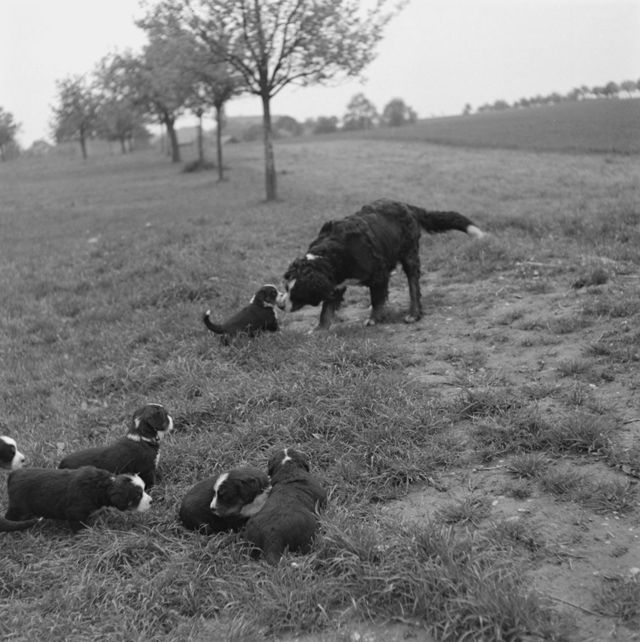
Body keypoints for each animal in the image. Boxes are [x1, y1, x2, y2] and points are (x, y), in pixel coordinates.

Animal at [5, 466, 151, 530]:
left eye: (144, 489)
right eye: (138, 495)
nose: (151, 501)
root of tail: (13, 475)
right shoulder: (76, 512)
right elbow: (79, 525)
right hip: (18, 508)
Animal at [278, 199, 485, 328]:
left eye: (298, 292)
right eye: (286, 288)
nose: (279, 305)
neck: (331, 255)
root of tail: (405, 205)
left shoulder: (378, 273)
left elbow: (377, 299)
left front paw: (374, 319)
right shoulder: (335, 283)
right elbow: (326, 310)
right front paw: (320, 329)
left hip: (409, 255)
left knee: (413, 286)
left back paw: (413, 313)